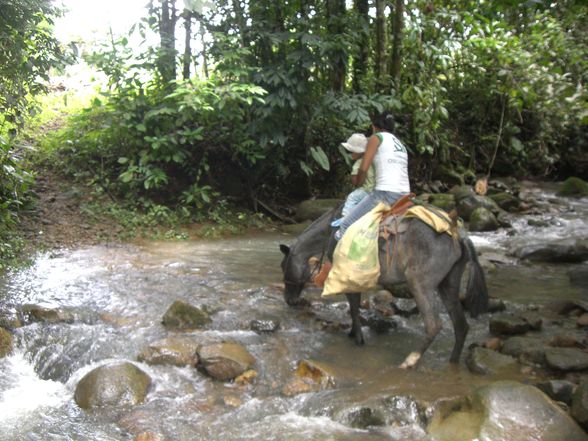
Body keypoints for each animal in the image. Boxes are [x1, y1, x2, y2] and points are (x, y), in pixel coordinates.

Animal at [280, 205, 486, 368]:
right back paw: (452, 362)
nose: (289, 300)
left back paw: (410, 361)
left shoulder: (348, 278)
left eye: (283, 266)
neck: (332, 232)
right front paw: (353, 333)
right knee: (461, 325)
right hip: (448, 284)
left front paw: (358, 338)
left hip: (420, 285)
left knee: (434, 325)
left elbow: (353, 308)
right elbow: (354, 307)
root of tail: (459, 236)